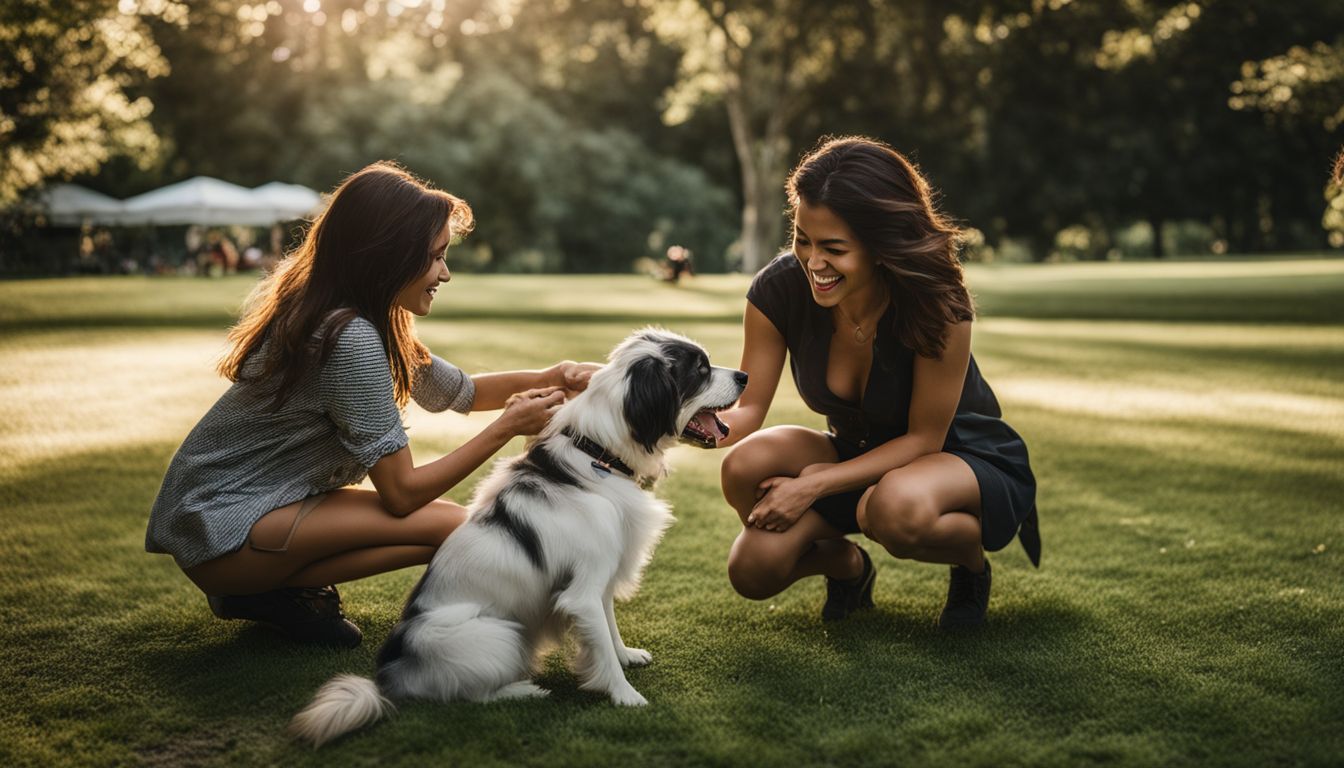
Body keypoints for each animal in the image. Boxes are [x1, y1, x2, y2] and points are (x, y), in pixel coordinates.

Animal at [290, 329, 747, 747]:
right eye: (700, 371)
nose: (744, 375)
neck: (598, 455)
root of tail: (388, 673)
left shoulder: (599, 577)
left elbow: (608, 628)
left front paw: (625, 656)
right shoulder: (582, 592)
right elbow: (601, 640)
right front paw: (625, 696)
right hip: (503, 634)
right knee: (470, 695)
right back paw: (524, 690)